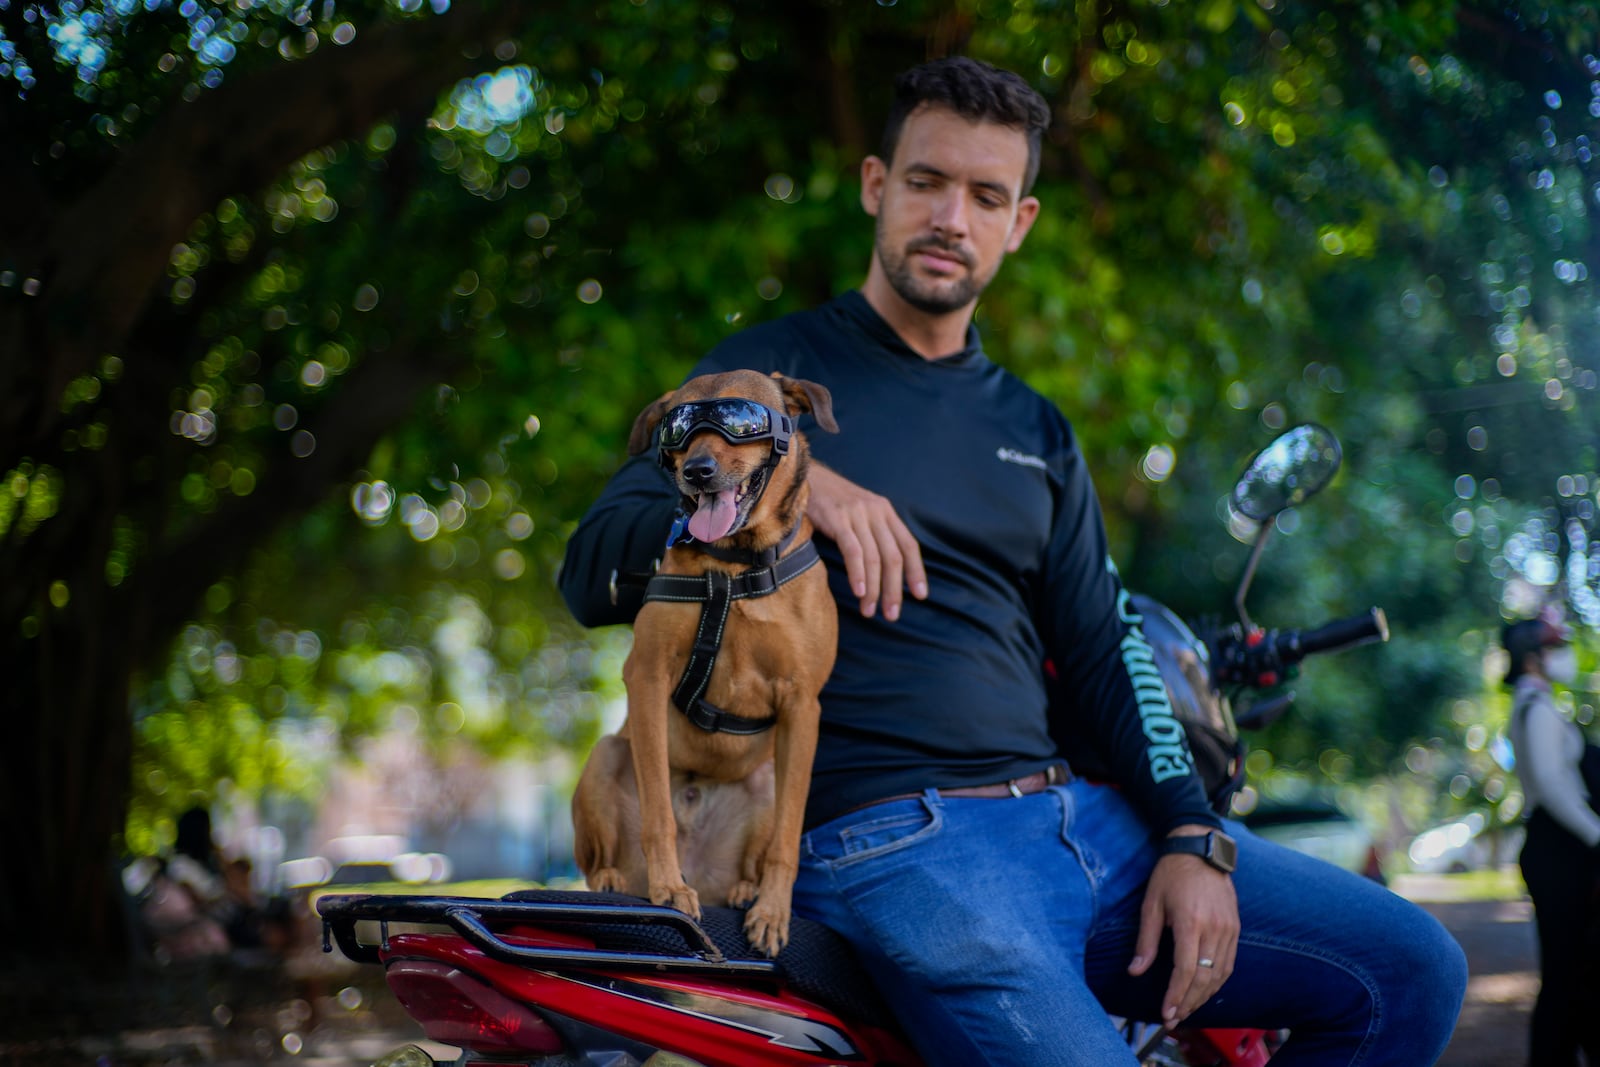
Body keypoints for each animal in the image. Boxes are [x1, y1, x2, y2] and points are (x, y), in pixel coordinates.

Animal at [576, 369, 851, 959]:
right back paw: (616, 879)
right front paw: (670, 889)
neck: (735, 566)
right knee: (600, 858)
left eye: (740, 421)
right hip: (606, 756)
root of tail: (705, 870)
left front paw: (773, 913)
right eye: (677, 429)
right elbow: (659, 810)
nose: (697, 471)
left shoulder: (803, 705)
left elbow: (789, 837)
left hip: (767, 779)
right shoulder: (648, 677)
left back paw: (746, 890)